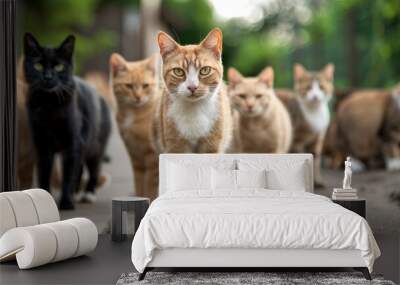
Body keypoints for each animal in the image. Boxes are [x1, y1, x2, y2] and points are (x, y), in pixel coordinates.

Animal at [23, 32, 111, 209]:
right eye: (38, 66)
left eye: (59, 67)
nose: (48, 77)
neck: (49, 105)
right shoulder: (42, 144)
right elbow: (44, 173)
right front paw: (46, 197)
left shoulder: (72, 142)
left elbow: (68, 175)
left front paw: (66, 202)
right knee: (80, 168)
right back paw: (76, 193)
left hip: (95, 146)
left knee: (93, 169)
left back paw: (88, 194)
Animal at [110, 53, 160, 200]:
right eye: (128, 86)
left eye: (145, 85)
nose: (138, 97)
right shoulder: (135, 157)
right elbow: (139, 185)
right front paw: (139, 197)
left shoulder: (152, 157)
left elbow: (150, 186)